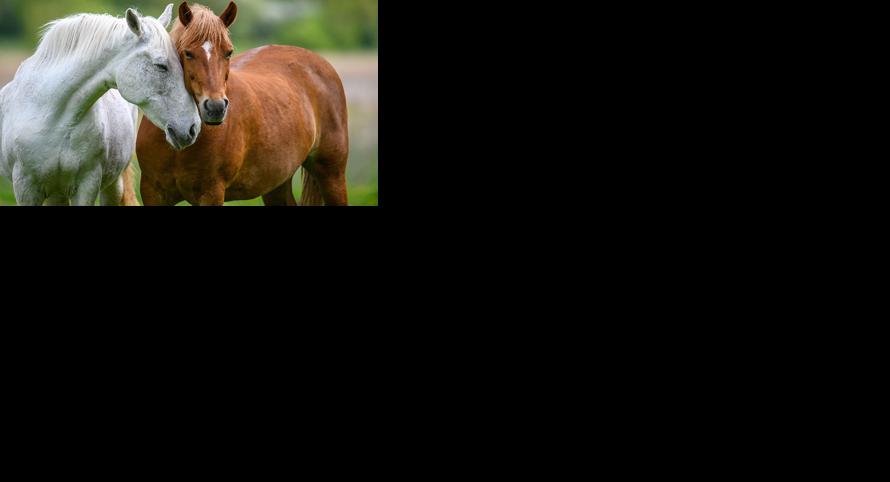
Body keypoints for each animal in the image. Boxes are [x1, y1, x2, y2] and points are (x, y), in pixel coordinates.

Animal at [0, 4, 201, 206]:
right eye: (161, 66)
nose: (193, 128)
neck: (52, 116)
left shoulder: (87, 185)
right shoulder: (26, 189)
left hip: (111, 186)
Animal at [136, 2, 350, 206]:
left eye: (228, 52)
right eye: (188, 53)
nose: (215, 108)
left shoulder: (211, 193)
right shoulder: (153, 192)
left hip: (332, 175)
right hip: (276, 183)